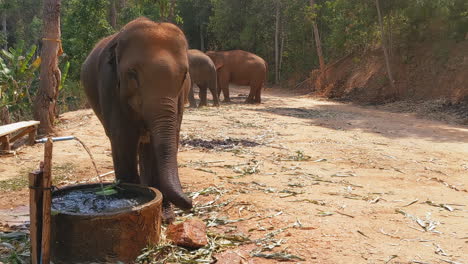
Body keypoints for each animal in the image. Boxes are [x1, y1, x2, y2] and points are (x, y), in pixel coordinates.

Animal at [80, 17, 192, 222]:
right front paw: (133, 200)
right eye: (132, 74)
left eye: (184, 75)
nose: (190, 203)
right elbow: (123, 139)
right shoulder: (109, 86)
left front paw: (165, 216)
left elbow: (168, 138)